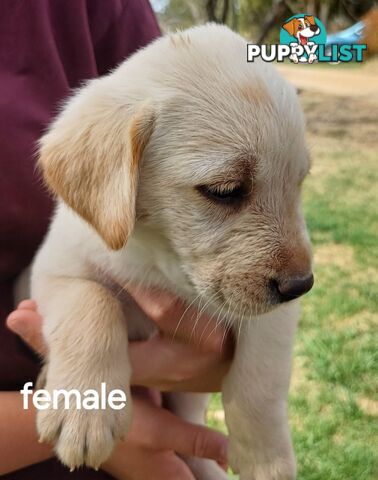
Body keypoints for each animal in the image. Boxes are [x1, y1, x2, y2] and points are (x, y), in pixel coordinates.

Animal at [29, 23, 314, 480]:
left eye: (299, 183)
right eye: (224, 191)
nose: (302, 285)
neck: (159, 265)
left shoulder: (276, 316)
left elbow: (261, 381)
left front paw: (266, 459)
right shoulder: (53, 271)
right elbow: (92, 300)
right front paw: (86, 412)